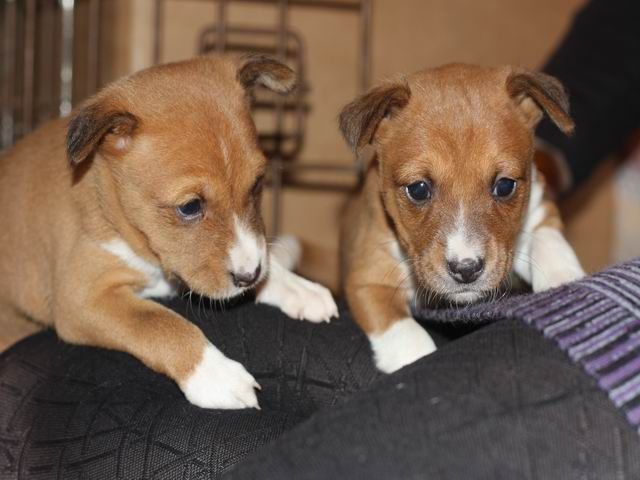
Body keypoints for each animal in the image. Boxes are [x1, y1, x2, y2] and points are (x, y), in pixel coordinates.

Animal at [0, 54, 338, 409]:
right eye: (190, 206)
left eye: (258, 183)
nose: (248, 276)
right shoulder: (83, 298)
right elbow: (159, 322)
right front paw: (217, 375)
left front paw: (298, 287)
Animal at [339, 64, 585, 373]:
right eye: (418, 189)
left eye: (505, 185)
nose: (466, 269)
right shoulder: (369, 279)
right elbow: (407, 335)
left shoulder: (540, 210)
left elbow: (550, 242)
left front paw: (564, 281)